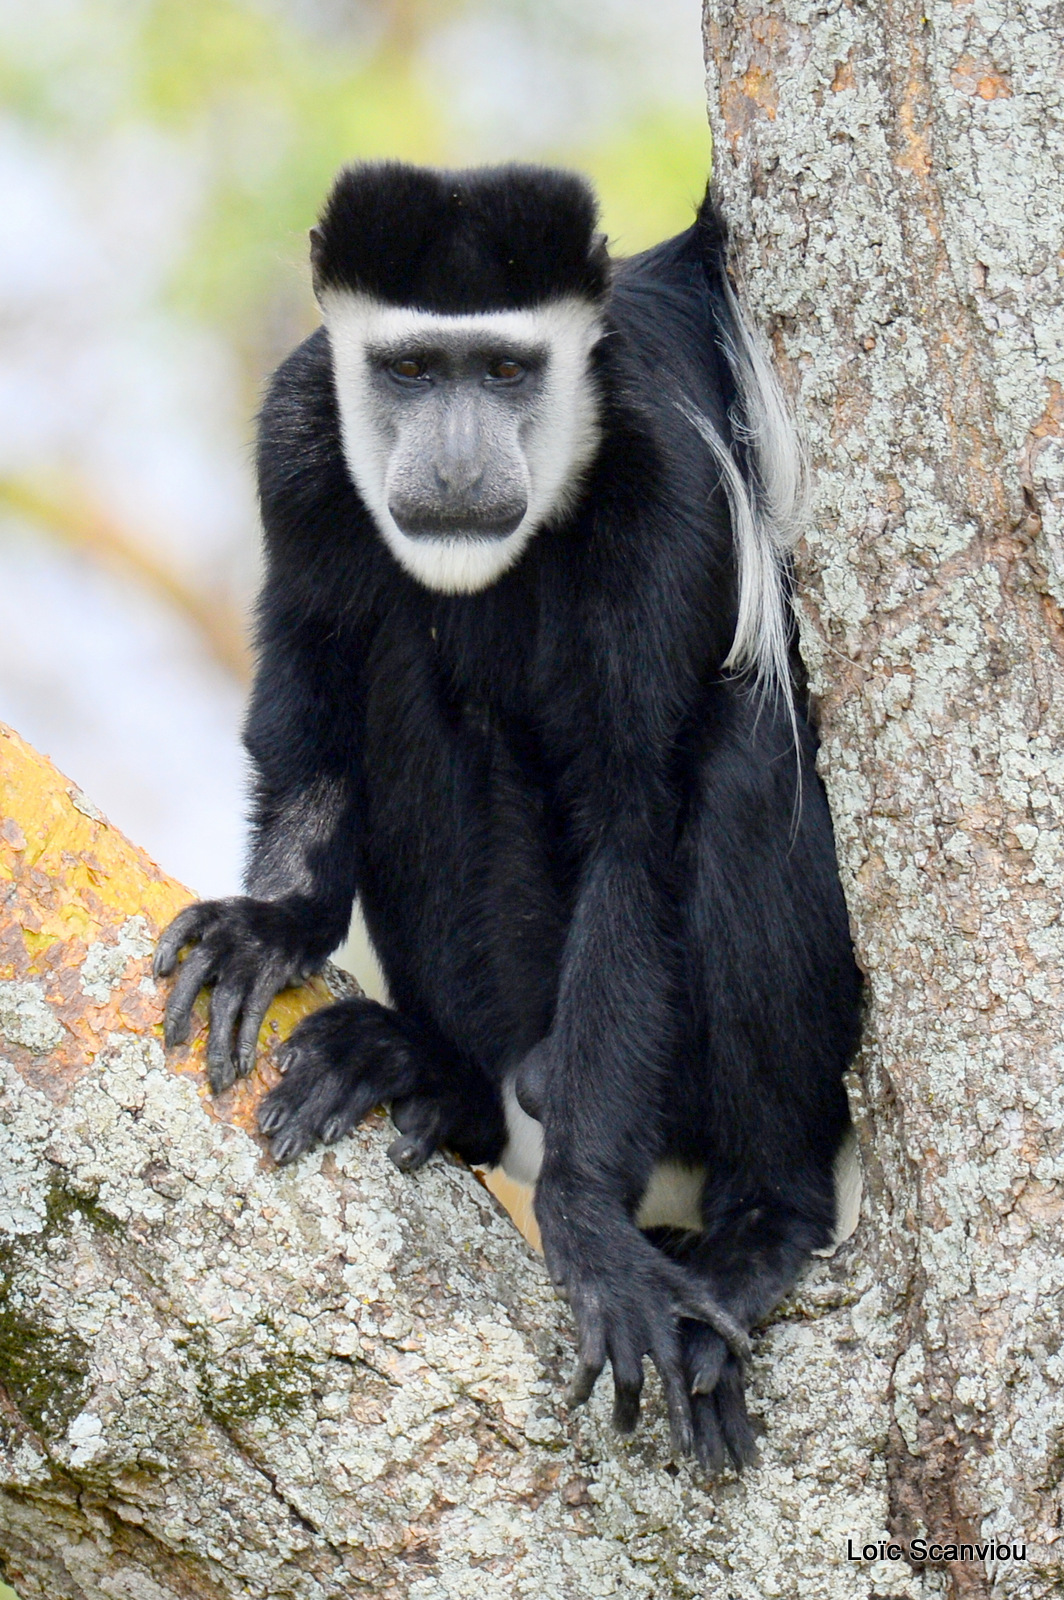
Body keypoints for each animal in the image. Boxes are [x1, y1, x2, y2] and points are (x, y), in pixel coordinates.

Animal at [151, 165, 864, 1472]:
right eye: (411, 371)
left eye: (502, 372)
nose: (452, 463)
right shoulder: (299, 439)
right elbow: (312, 687)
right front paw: (269, 927)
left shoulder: (665, 492)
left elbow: (637, 820)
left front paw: (584, 1226)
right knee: (406, 671)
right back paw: (437, 1077)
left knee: (748, 757)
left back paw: (759, 1226)